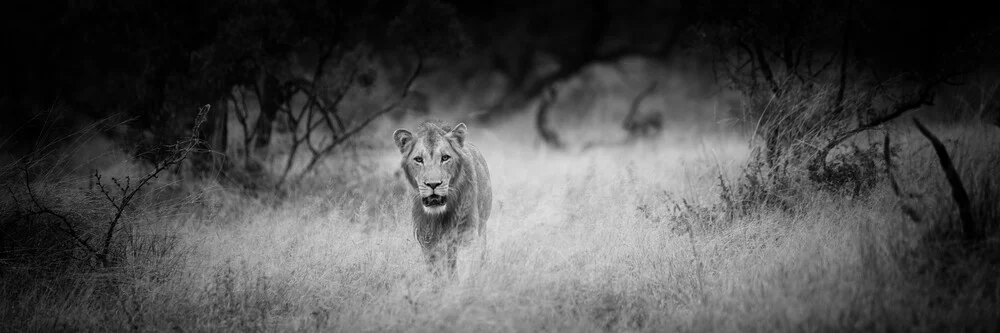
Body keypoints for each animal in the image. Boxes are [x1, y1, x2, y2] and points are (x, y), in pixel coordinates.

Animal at [394, 120, 496, 274]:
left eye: (445, 158)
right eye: (418, 159)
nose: (433, 184)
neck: (439, 215)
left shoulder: (466, 234)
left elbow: (465, 267)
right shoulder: (428, 240)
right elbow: (437, 273)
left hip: (482, 227)